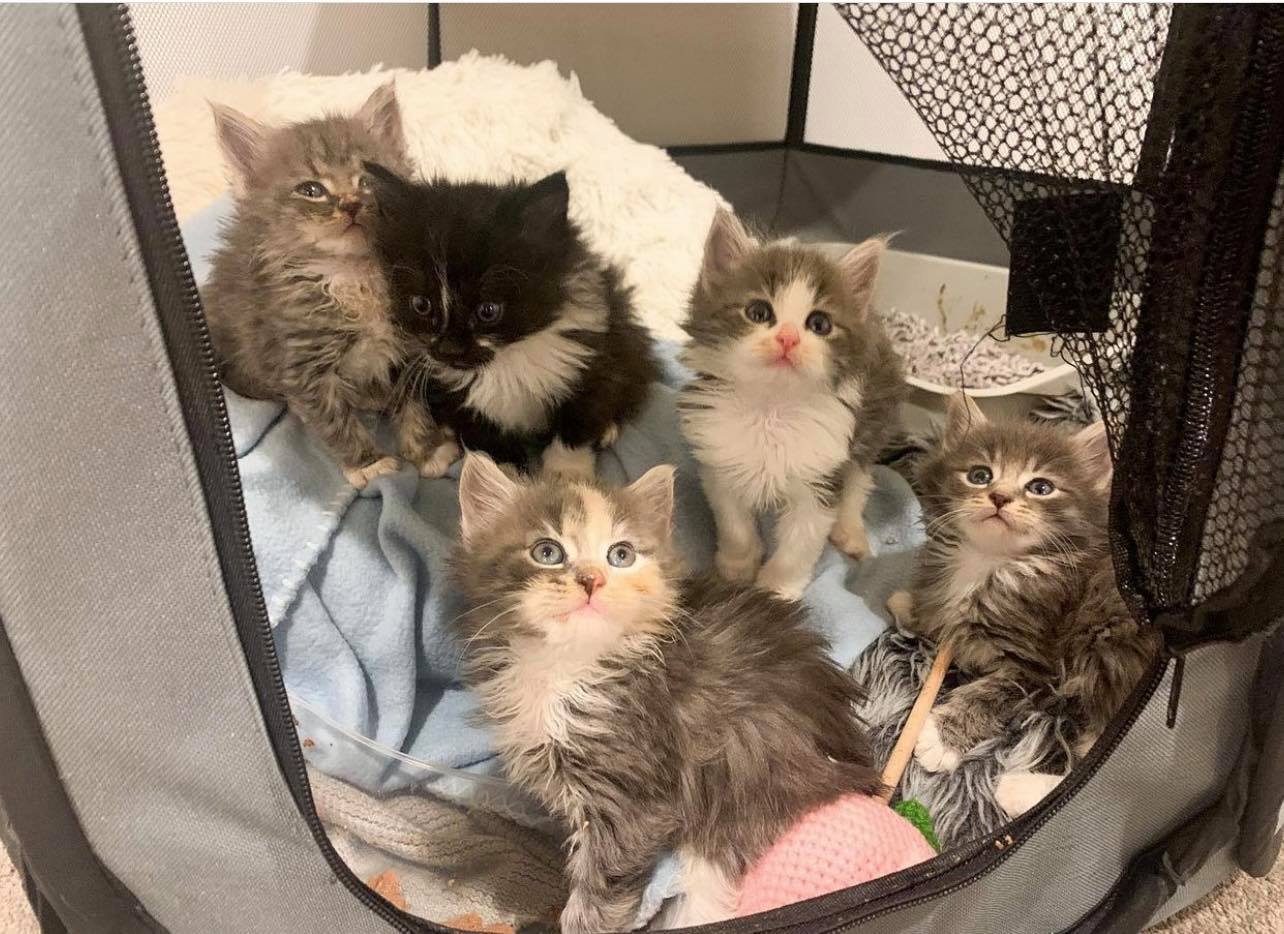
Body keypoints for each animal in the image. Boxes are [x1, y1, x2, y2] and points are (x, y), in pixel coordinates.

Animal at [201, 82, 458, 488]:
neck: (354, 276)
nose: (351, 204)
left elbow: (414, 402)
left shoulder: (408, 348)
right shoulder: (302, 365)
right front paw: (369, 463)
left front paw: (426, 448)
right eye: (311, 190)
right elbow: (334, 420)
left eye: (368, 181)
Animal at [363, 166, 659, 478]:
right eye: (421, 305)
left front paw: (566, 473)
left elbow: (576, 421)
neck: (504, 362)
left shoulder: (588, 355)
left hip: (625, 335)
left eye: (488, 310)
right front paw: (503, 477)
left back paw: (608, 429)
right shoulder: (449, 394)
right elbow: (485, 437)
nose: (448, 350)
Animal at [450, 452, 883, 933]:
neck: (569, 665)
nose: (592, 580)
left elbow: (601, 888)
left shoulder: (634, 799)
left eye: (621, 555)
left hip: (748, 770)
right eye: (547, 552)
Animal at [678, 209, 906, 599]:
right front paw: (737, 567)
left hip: (873, 419)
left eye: (819, 323)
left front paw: (775, 592)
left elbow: (799, 545)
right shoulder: (720, 461)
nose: (788, 338)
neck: (772, 406)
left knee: (859, 478)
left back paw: (850, 531)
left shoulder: (820, 478)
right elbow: (735, 524)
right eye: (758, 312)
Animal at [895, 393, 1159, 802]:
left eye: (1041, 487)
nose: (999, 497)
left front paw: (941, 739)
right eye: (980, 476)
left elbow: (989, 693)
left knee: (1111, 761)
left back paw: (1018, 791)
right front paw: (908, 603)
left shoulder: (1037, 665)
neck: (990, 563)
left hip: (1109, 653)